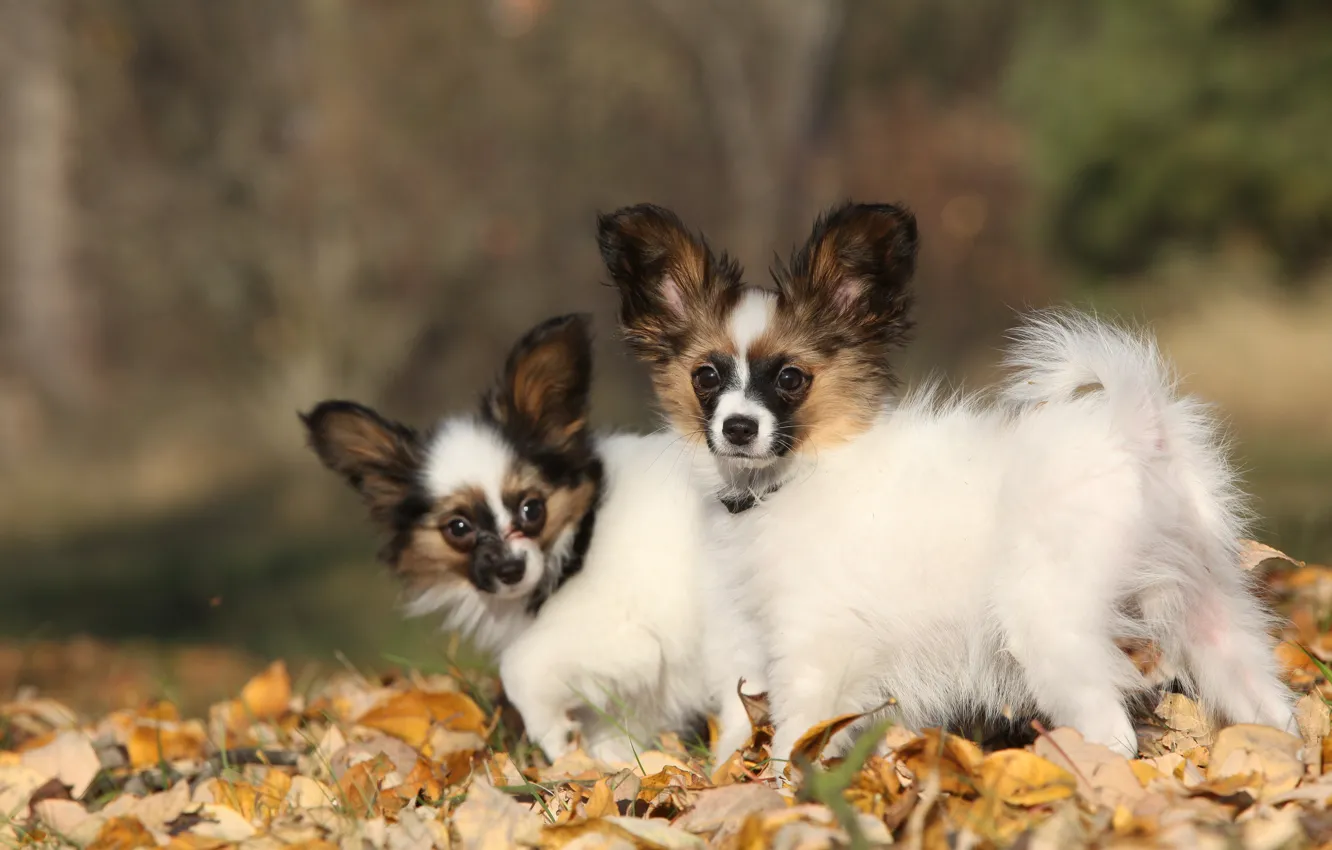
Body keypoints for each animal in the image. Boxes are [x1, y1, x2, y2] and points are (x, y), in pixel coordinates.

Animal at [299, 314, 751, 767]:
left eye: (532, 510)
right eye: (458, 528)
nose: (510, 569)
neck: (578, 541)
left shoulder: (623, 635)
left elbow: (518, 666)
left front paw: (553, 737)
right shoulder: (642, 669)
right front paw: (611, 762)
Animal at [599, 202, 1294, 762]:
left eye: (791, 379)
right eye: (706, 376)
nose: (738, 427)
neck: (793, 478)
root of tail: (1137, 427)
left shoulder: (817, 648)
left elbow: (796, 738)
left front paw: (781, 800)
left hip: (1050, 625)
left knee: (1112, 732)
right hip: (1211, 609)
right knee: (1272, 708)